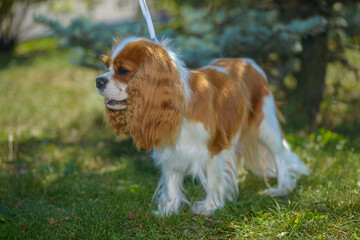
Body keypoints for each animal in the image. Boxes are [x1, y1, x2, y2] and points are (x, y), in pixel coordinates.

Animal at [95, 37, 310, 216]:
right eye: (106, 65)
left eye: (123, 70)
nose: (98, 80)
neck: (178, 103)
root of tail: (248, 61)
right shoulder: (170, 149)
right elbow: (171, 182)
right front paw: (168, 211)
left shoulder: (216, 147)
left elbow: (214, 179)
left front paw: (210, 207)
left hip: (266, 124)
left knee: (279, 156)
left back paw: (282, 187)